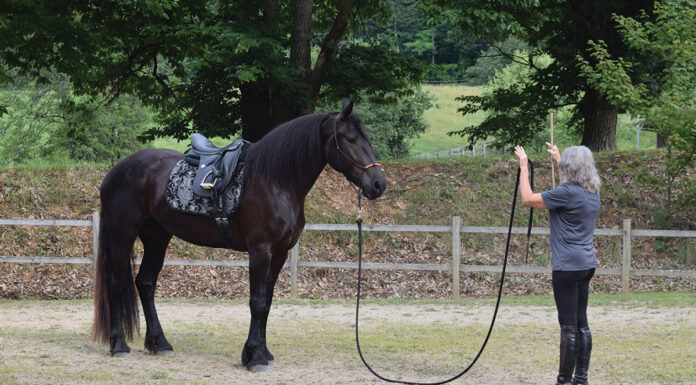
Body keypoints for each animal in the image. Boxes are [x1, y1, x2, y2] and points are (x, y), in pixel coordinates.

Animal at [92, 100, 386, 372]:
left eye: (368, 138)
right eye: (350, 139)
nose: (378, 184)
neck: (274, 179)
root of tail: (113, 173)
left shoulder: (279, 254)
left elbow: (267, 302)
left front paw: (260, 352)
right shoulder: (260, 251)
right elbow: (256, 302)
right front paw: (255, 358)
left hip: (157, 237)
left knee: (145, 283)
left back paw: (159, 343)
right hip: (122, 236)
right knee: (115, 283)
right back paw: (119, 345)